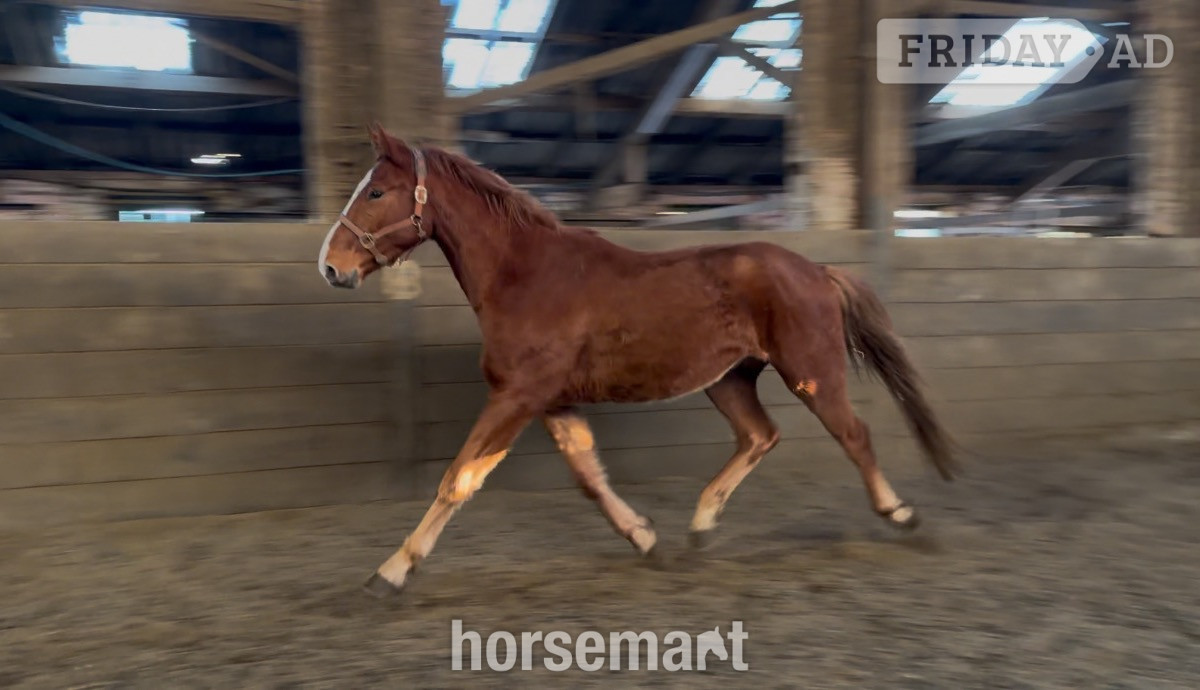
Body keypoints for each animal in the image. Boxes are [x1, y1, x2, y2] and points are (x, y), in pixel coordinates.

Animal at [319, 123, 957, 597]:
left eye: (375, 192)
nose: (331, 266)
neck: (527, 276)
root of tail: (817, 270)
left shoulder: (516, 396)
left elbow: (458, 479)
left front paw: (389, 573)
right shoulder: (552, 401)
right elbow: (590, 478)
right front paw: (646, 538)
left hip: (811, 373)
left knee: (853, 434)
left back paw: (902, 516)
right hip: (729, 380)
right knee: (760, 435)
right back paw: (700, 528)